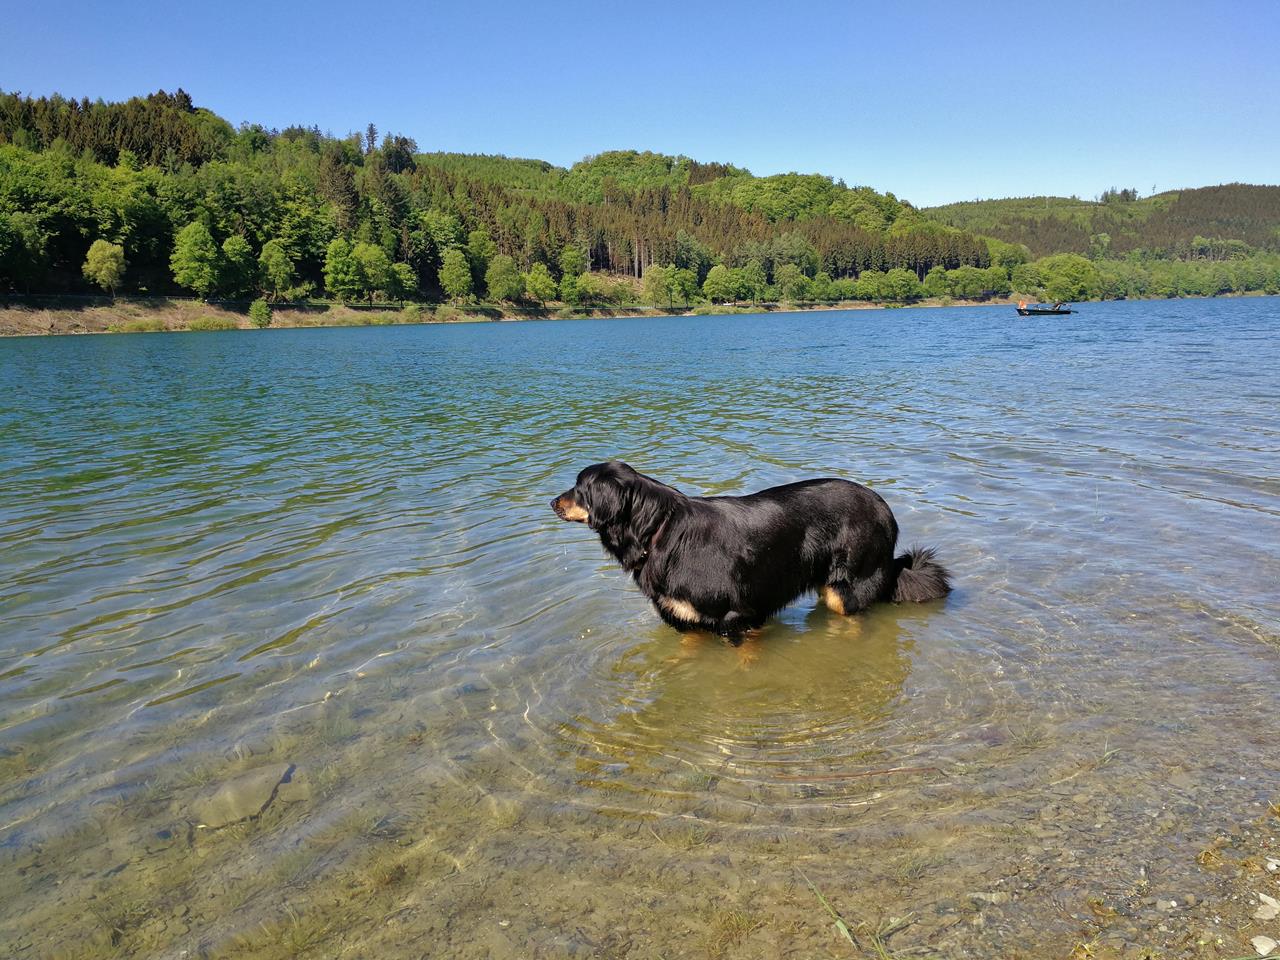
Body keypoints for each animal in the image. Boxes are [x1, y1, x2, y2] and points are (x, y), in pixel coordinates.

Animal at [551, 461, 950, 641]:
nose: (552, 502)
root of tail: (885, 509)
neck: (659, 530)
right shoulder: (687, 620)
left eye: (579, 488)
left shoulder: (740, 616)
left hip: (847, 587)